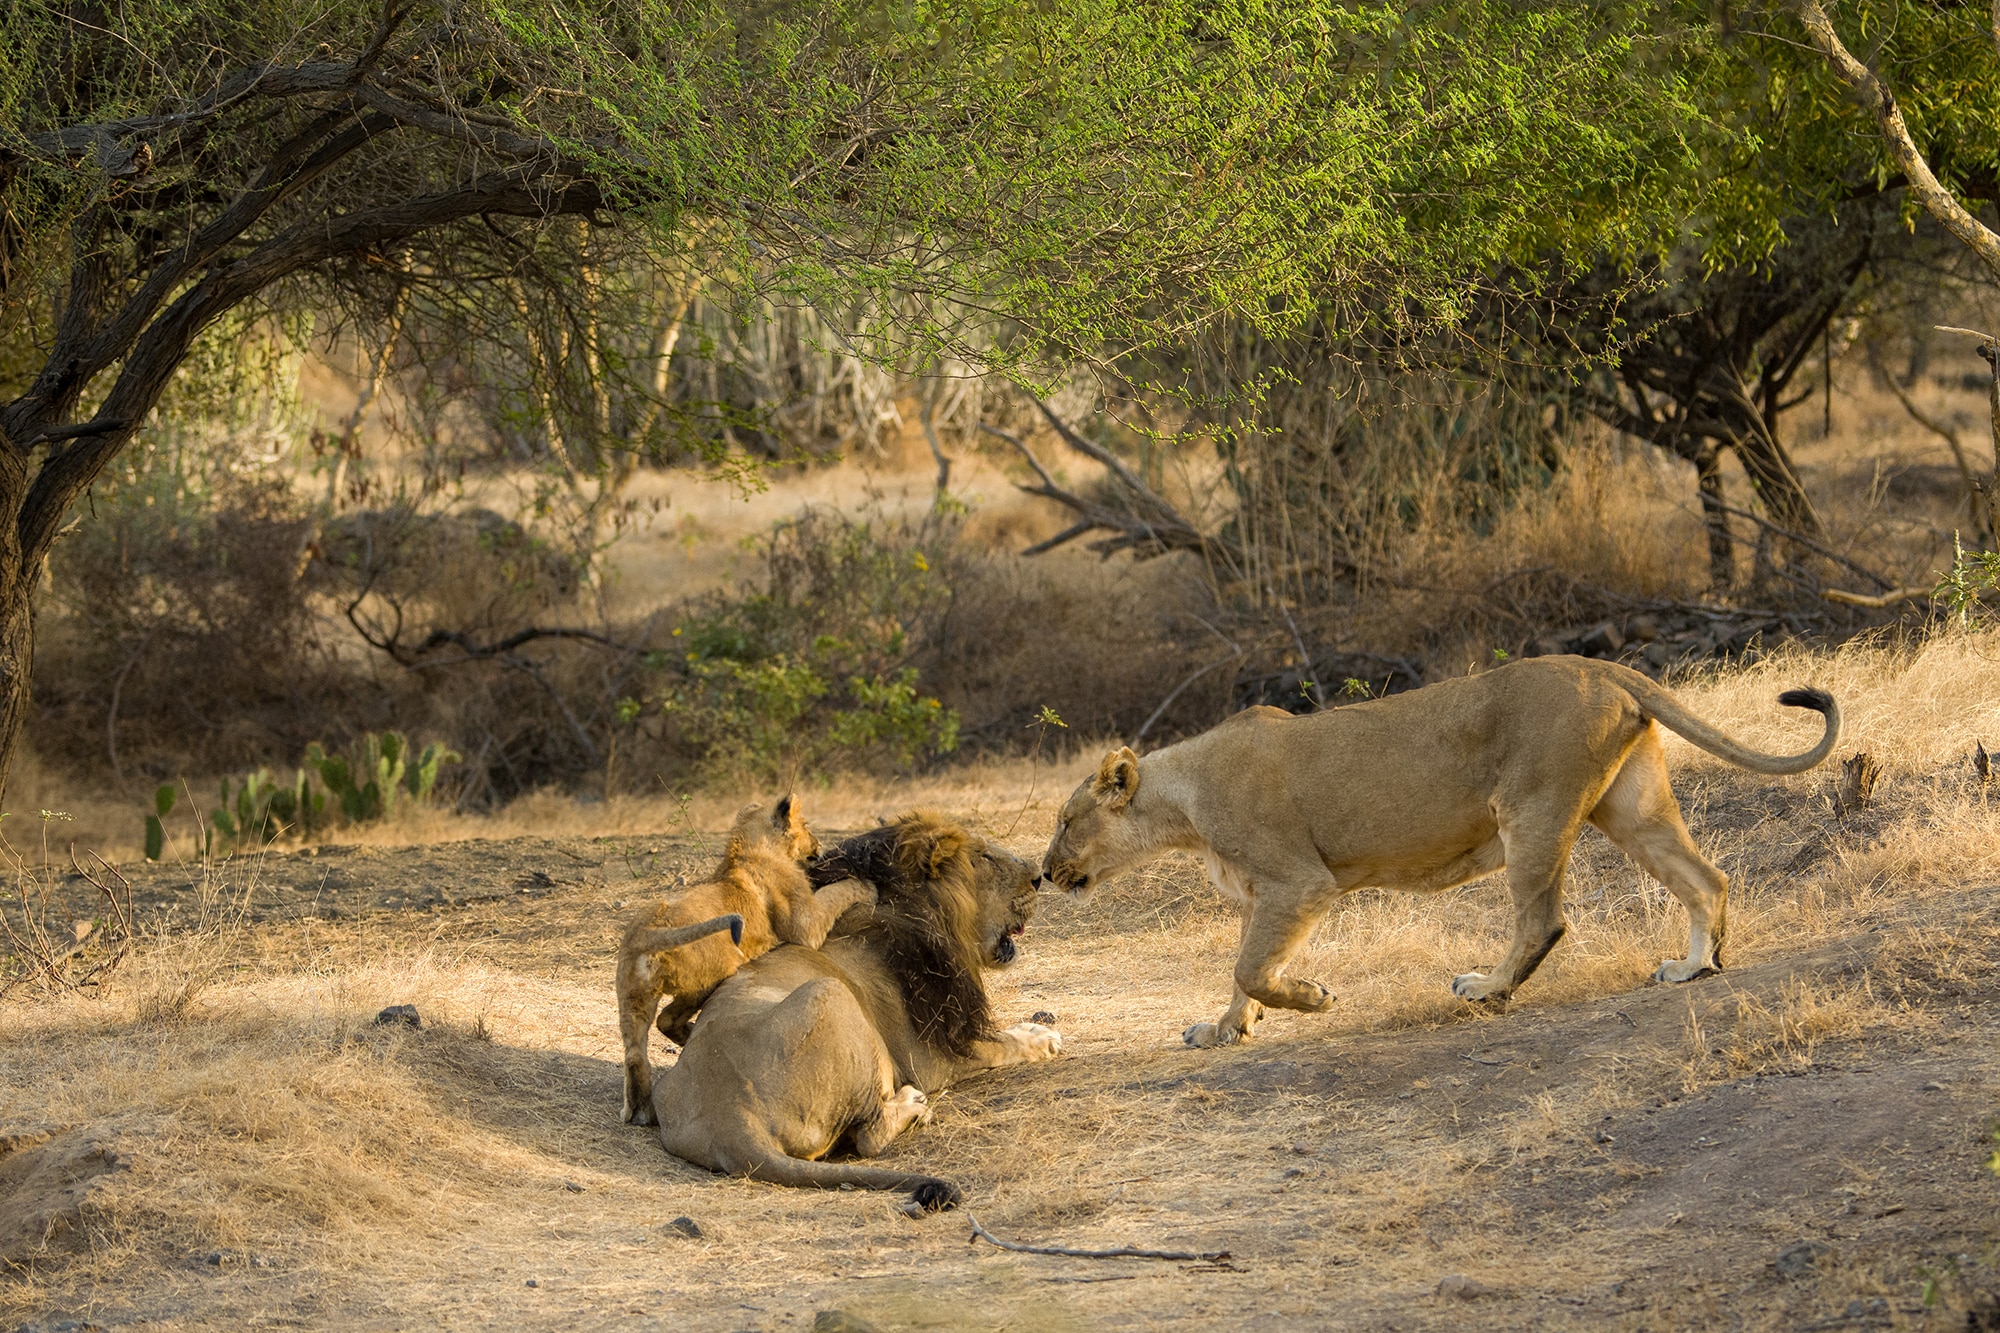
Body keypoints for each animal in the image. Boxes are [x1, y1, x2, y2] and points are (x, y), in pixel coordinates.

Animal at [616, 796, 876, 1124]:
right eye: (806, 826)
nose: (819, 845)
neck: (750, 849)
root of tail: (649, 931)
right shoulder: (806, 926)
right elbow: (834, 894)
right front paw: (866, 887)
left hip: (632, 997)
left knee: (635, 1053)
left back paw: (640, 1111)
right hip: (715, 972)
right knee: (667, 1019)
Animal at [651, 812, 1059, 1210]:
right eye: (984, 857)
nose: (1039, 877)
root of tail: (733, 1121)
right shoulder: (930, 1055)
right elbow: (1003, 1046)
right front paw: (1041, 1038)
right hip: (832, 994)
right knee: (869, 1136)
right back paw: (913, 1106)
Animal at [1038, 655, 1839, 1048]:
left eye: (1067, 820)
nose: (1044, 871)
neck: (1183, 799)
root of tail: (1602, 666)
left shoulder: (1300, 882)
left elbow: (1252, 969)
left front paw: (1314, 999)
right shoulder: (1262, 896)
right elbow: (1243, 972)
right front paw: (1224, 1030)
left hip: (1531, 810)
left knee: (1544, 920)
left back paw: (1488, 989)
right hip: (1632, 807)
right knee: (1708, 877)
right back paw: (1694, 966)